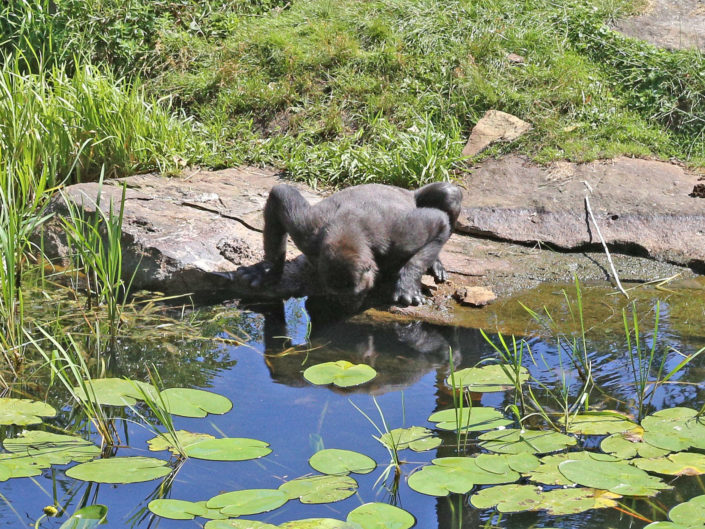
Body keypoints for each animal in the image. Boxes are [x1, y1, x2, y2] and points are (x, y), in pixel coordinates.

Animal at [236, 181, 462, 307]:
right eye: (335, 297)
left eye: (357, 294)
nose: (346, 305)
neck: (349, 228)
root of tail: (406, 191)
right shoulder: (307, 231)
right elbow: (279, 195)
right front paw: (267, 270)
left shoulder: (400, 237)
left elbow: (440, 223)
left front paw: (407, 281)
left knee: (449, 194)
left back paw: (435, 262)